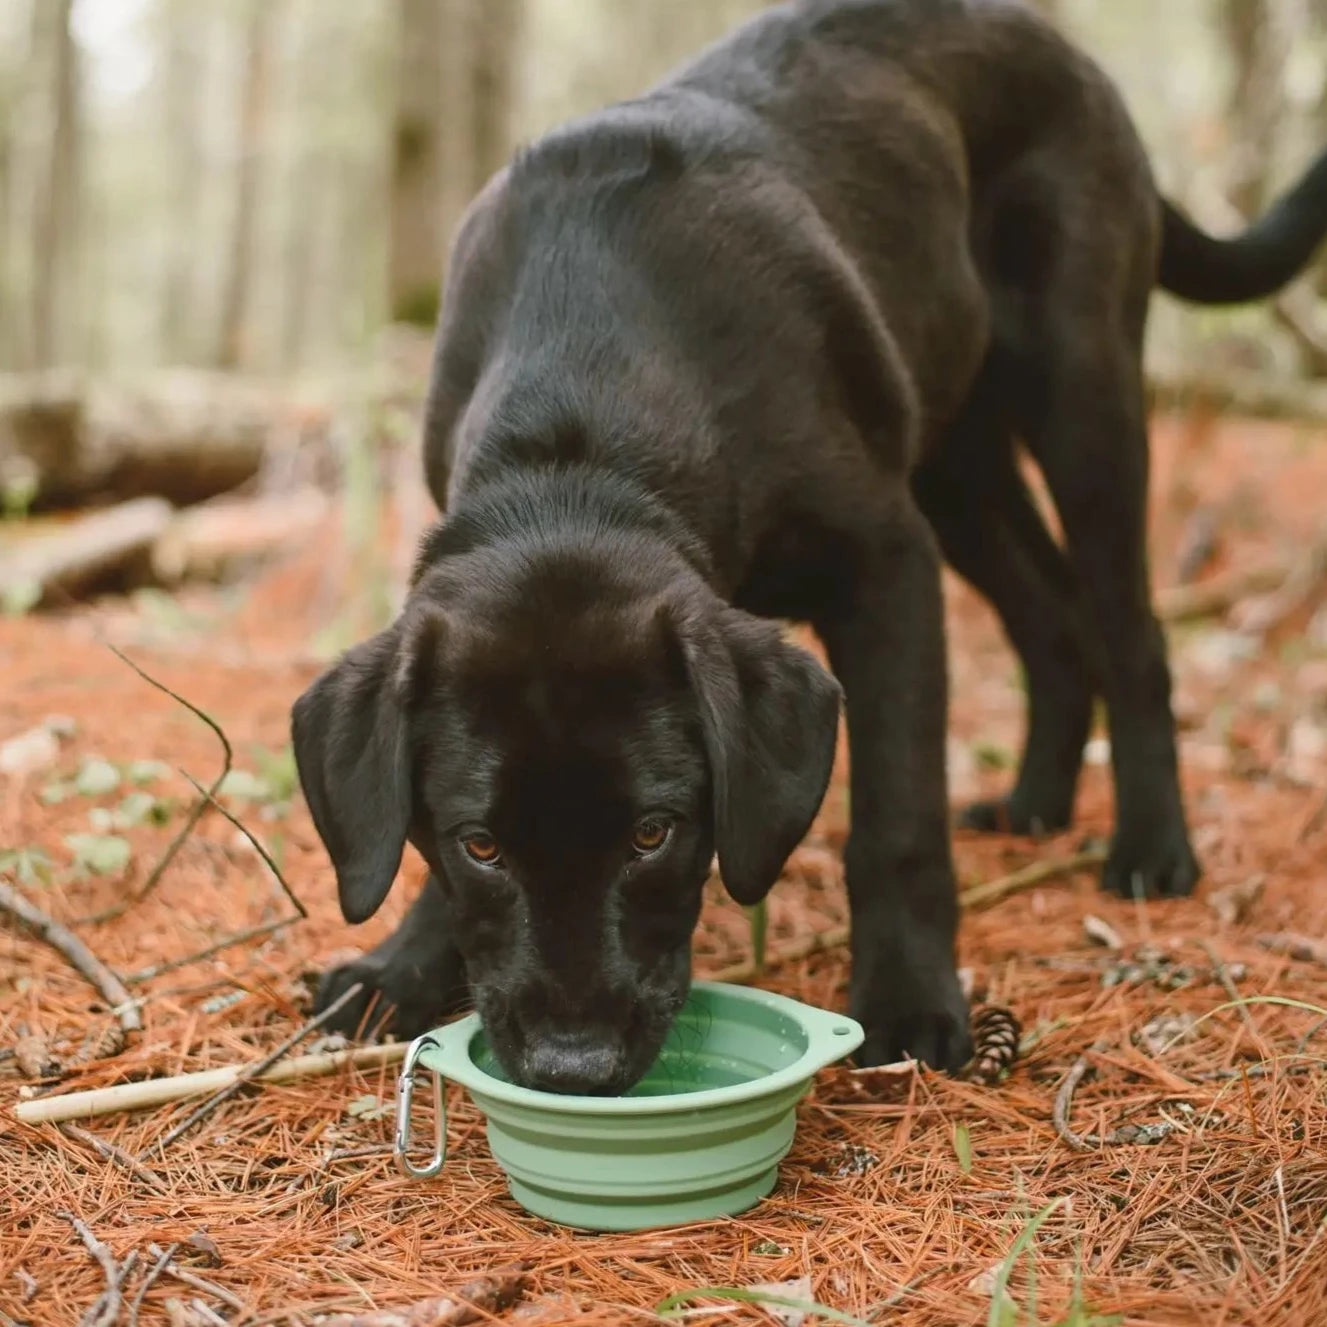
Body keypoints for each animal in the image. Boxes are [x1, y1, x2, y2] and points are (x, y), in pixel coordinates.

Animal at [293, 0, 1327, 1093]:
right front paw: (400, 966)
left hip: (1078, 393)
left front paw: (907, 1003)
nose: (575, 1063)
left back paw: (1149, 847)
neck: (581, 431)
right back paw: (1034, 805)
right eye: (481, 842)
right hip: (956, 467)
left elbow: (897, 815)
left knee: (1131, 633)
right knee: (1051, 618)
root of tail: (1063, 50)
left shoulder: (886, 564)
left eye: (654, 832)